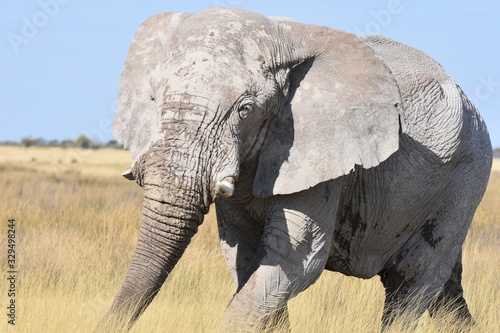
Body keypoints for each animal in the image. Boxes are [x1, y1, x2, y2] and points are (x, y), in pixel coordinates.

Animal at [97, 6, 492, 330]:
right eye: (153, 98)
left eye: (245, 109)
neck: (282, 37)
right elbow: (245, 257)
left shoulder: (323, 157)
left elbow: (294, 259)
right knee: (443, 288)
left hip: (467, 172)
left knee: (413, 277)